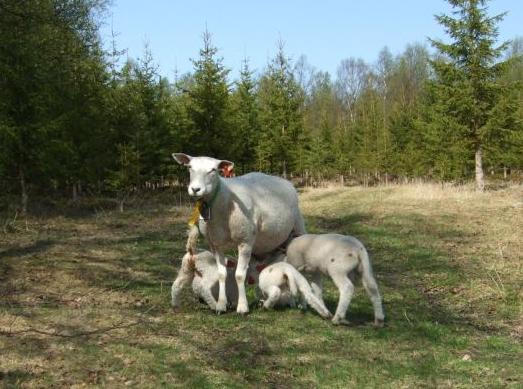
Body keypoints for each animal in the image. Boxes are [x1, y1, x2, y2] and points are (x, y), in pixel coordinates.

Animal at [174, 153, 308, 314]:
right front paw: (221, 305)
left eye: (213, 170)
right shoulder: (215, 244)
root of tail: (286, 182)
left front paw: (242, 307)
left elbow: (239, 275)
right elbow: (222, 274)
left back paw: (302, 303)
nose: (195, 189)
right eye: (190, 167)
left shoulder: (245, 241)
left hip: (298, 227)